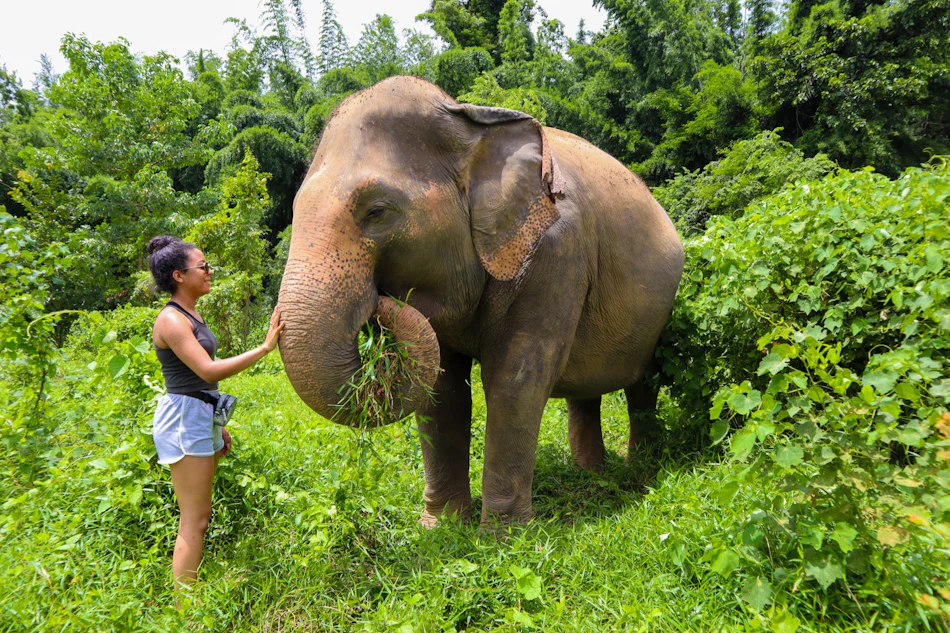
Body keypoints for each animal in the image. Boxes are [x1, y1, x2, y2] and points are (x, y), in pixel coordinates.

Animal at [278, 76, 684, 526]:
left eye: (377, 212)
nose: (380, 302)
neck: (470, 122)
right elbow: (443, 389)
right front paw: (444, 526)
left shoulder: (558, 252)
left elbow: (516, 378)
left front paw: (504, 534)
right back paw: (591, 473)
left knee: (643, 384)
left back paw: (639, 466)